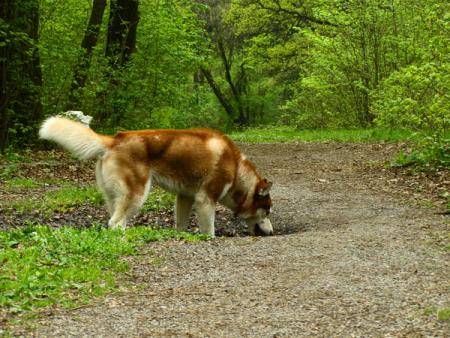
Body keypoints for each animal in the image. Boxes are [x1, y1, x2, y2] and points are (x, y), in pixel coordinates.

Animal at [38, 117, 272, 236]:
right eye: (267, 211)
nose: (271, 232)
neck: (236, 169)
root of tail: (114, 139)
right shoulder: (205, 200)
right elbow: (210, 231)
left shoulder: (185, 197)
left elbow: (181, 225)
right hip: (138, 194)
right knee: (116, 223)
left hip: (114, 197)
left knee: (112, 220)